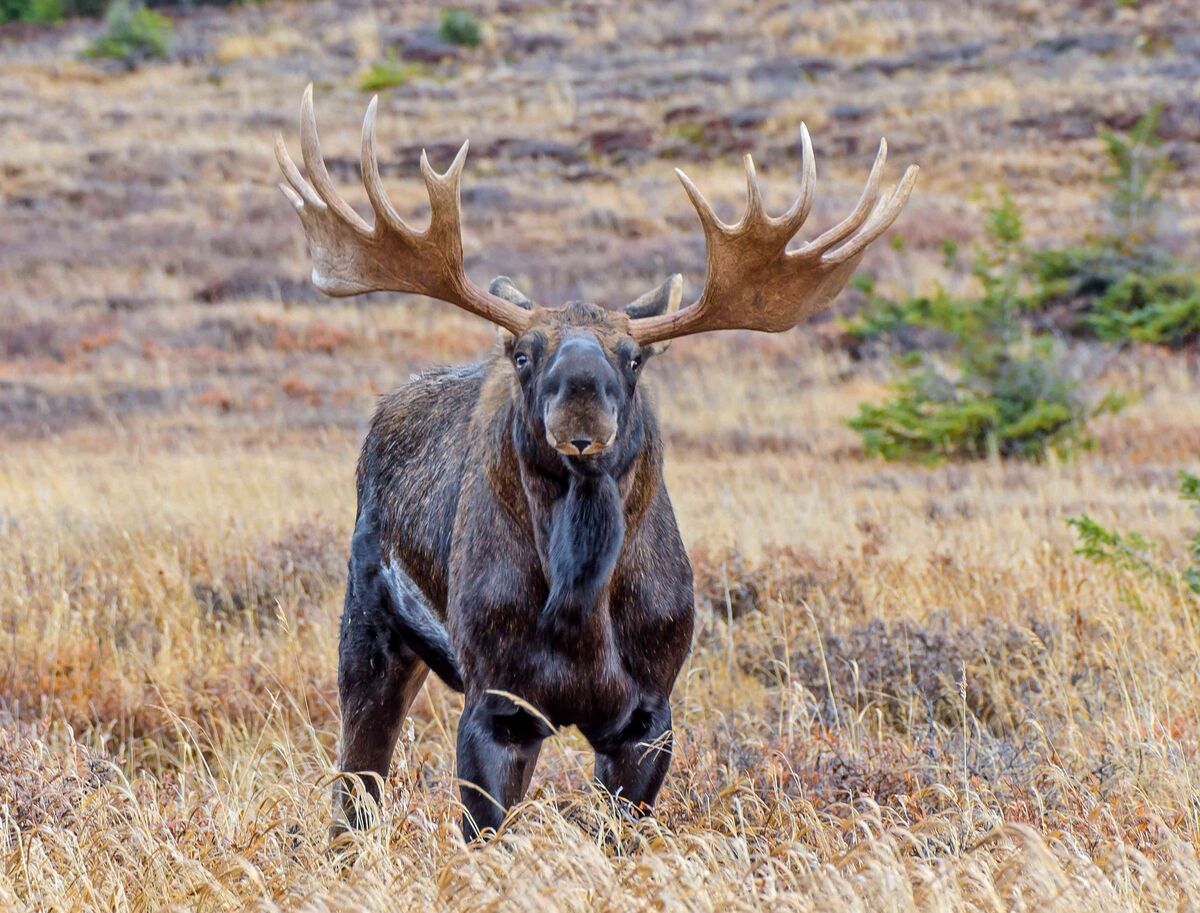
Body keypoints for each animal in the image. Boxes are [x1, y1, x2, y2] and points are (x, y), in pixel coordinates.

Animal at [275, 85, 917, 842]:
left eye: (632, 357)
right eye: (525, 352)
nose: (581, 406)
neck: (579, 603)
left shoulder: (647, 714)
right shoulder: (497, 704)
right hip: (369, 628)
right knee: (354, 791)